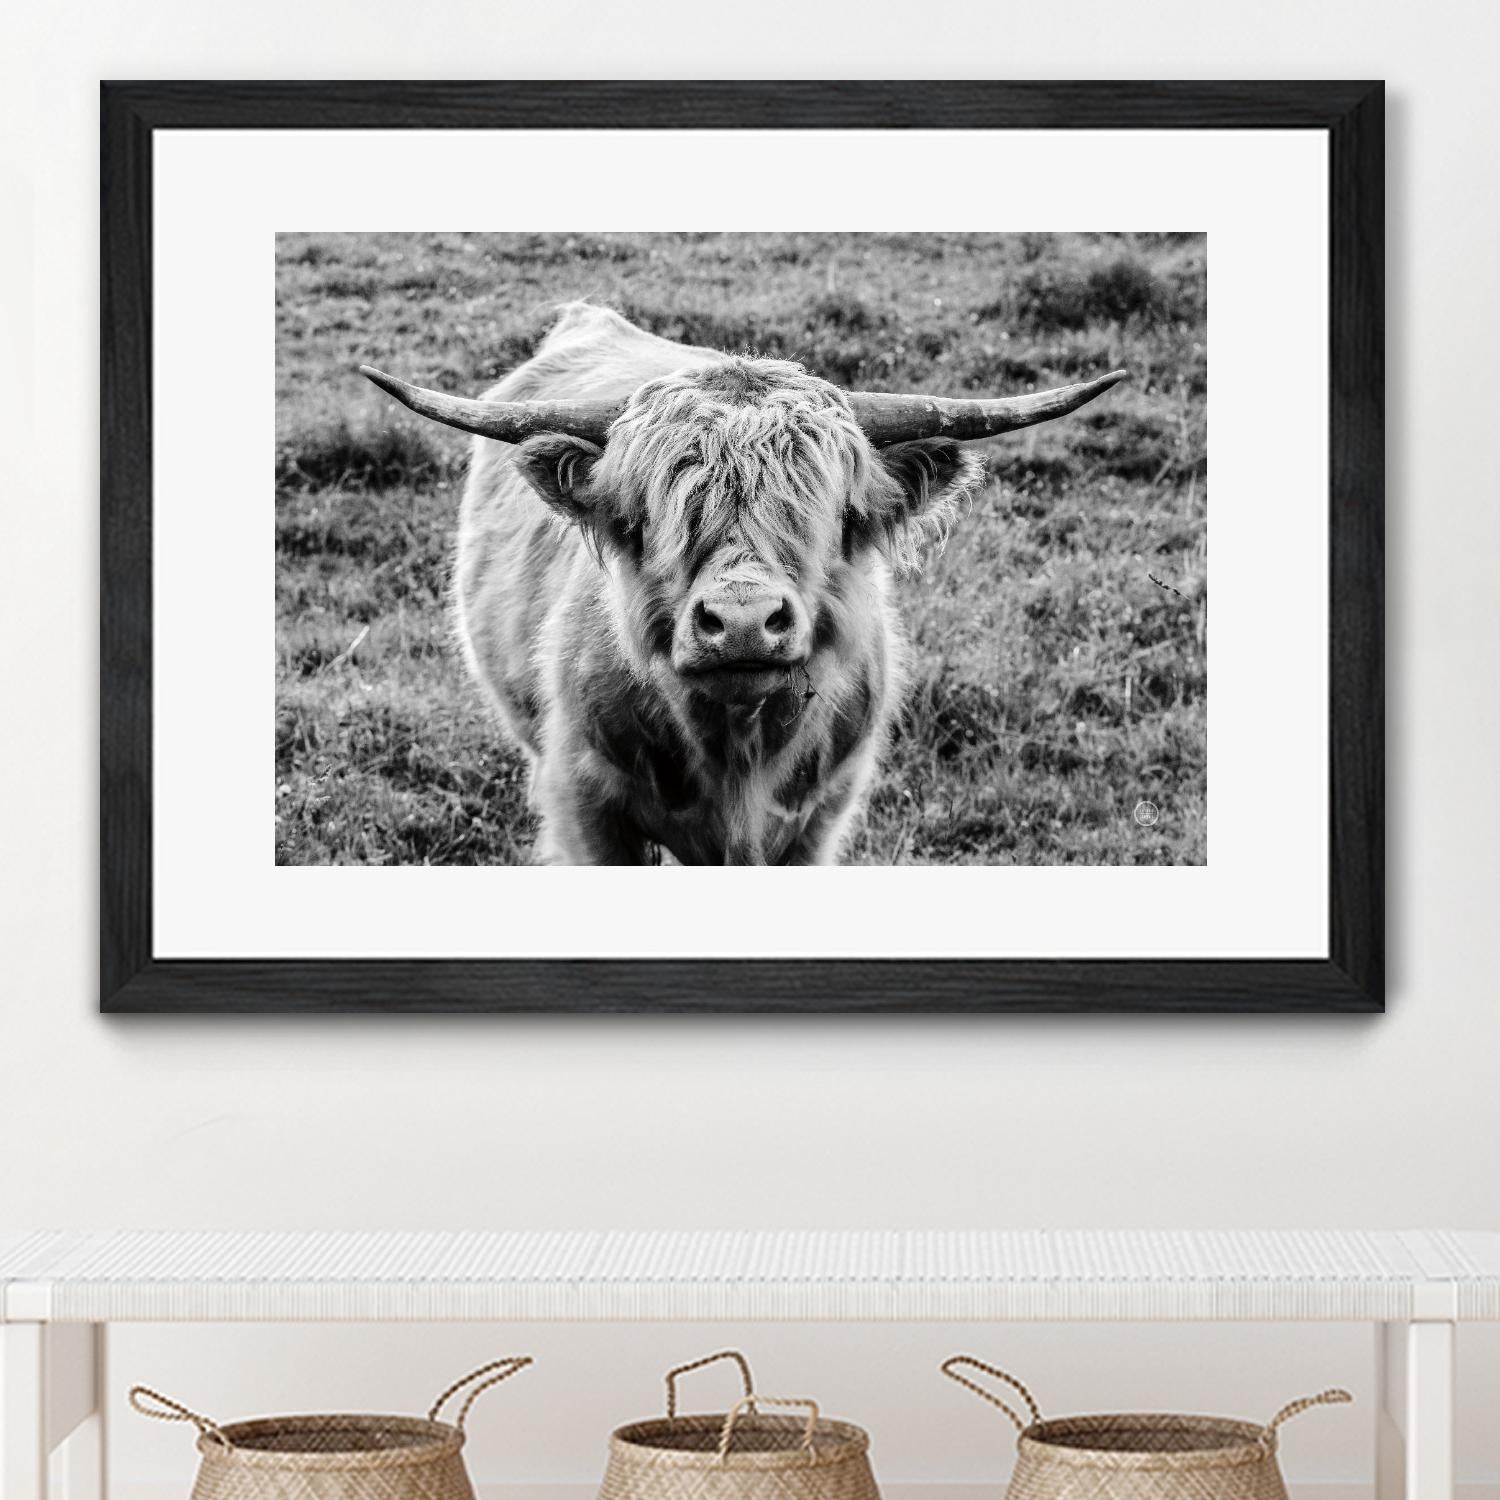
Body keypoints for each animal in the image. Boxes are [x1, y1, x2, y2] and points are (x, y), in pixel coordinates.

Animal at [361, 303, 1124, 865]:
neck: (737, 753)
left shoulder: (821, 817)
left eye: (837, 516)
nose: (743, 622)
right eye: (647, 516)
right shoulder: (585, 804)